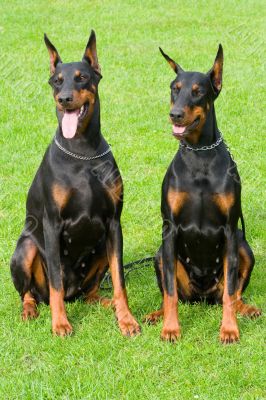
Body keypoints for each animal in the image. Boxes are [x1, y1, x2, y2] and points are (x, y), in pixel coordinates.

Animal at [9, 31, 140, 336]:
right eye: (56, 80)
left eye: (81, 78)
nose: (64, 99)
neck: (82, 151)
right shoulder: (52, 223)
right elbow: (56, 283)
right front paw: (60, 323)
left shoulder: (113, 223)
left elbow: (120, 281)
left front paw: (126, 319)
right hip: (25, 248)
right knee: (31, 293)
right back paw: (31, 310)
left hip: (101, 246)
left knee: (90, 292)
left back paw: (107, 304)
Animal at [147, 44, 262, 344]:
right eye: (174, 88)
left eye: (198, 91)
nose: (175, 114)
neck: (199, 156)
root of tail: (202, 296)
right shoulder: (170, 230)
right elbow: (170, 292)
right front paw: (171, 328)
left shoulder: (230, 231)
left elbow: (231, 290)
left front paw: (229, 329)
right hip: (160, 255)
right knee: (172, 293)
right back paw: (156, 314)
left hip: (245, 247)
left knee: (232, 293)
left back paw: (245, 308)